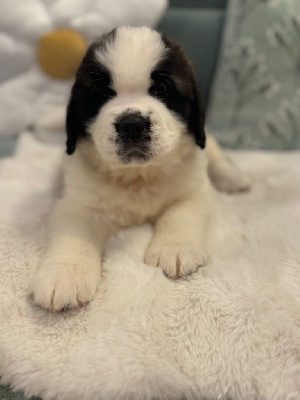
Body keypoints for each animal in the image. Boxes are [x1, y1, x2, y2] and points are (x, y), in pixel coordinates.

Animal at [30, 26, 251, 310]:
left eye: (161, 90)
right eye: (102, 94)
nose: (132, 124)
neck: (138, 176)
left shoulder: (194, 188)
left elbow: (179, 212)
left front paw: (174, 248)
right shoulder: (77, 200)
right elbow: (75, 232)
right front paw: (65, 274)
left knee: (214, 153)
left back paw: (233, 178)